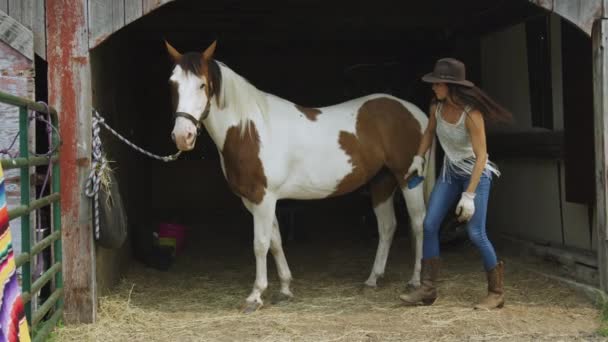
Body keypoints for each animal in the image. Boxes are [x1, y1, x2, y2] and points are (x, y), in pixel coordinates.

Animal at [164, 40, 434, 312]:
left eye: (202, 85)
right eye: (172, 84)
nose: (183, 136)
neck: (250, 130)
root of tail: (415, 112)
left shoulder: (263, 198)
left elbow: (260, 244)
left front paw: (255, 296)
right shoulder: (256, 201)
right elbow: (275, 242)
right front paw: (285, 288)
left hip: (407, 179)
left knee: (418, 223)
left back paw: (414, 281)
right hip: (382, 181)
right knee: (388, 226)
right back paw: (372, 279)